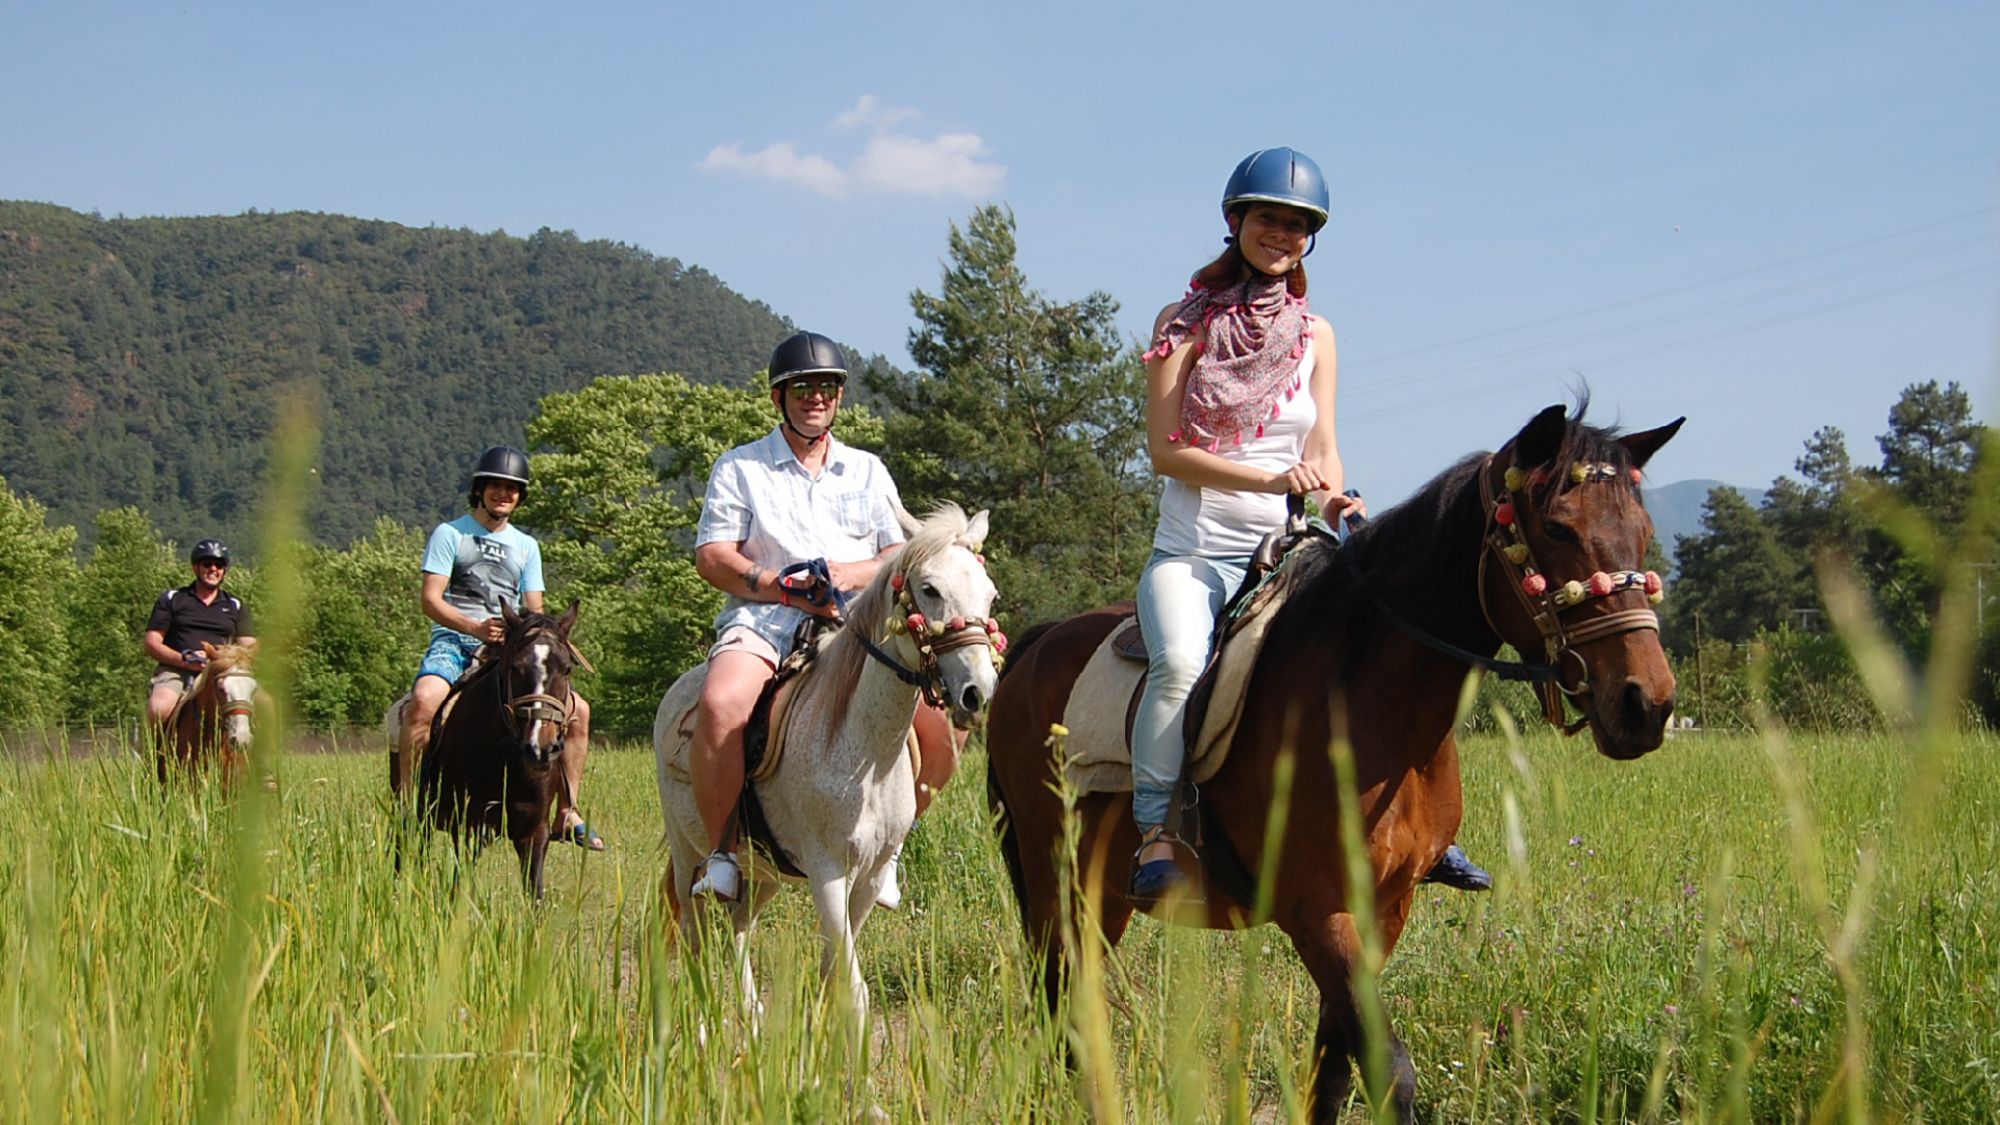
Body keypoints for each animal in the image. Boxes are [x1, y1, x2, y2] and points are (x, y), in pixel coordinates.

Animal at [418, 600, 584, 896]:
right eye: (515, 667)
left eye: (566, 668)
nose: (539, 748)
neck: (506, 758)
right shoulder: (469, 827)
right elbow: (461, 886)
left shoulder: (533, 831)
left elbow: (535, 895)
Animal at [652, 504, 1000, 1032]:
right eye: (930, 589)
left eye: (989, 593)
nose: (978, 693)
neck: (865, 760)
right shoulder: (828, 872)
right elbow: (853, 991)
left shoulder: (869, 878)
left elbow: (832, 974)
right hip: (687, 852)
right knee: (695, 940)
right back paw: (702, 1030)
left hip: (764, 874)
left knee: (737, 930)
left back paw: (752, 1020)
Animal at [984, 400, 1688, 1112]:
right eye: (1556, 528)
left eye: (1644, 530)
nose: (1646, 704)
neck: (1371, 708)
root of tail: (1038, 645)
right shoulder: (1317, 910)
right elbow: (1389, 1069)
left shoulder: (1385, 909)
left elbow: (1334, 1068)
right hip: (1054, 878)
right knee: (1062, 999)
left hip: (1100, 891)